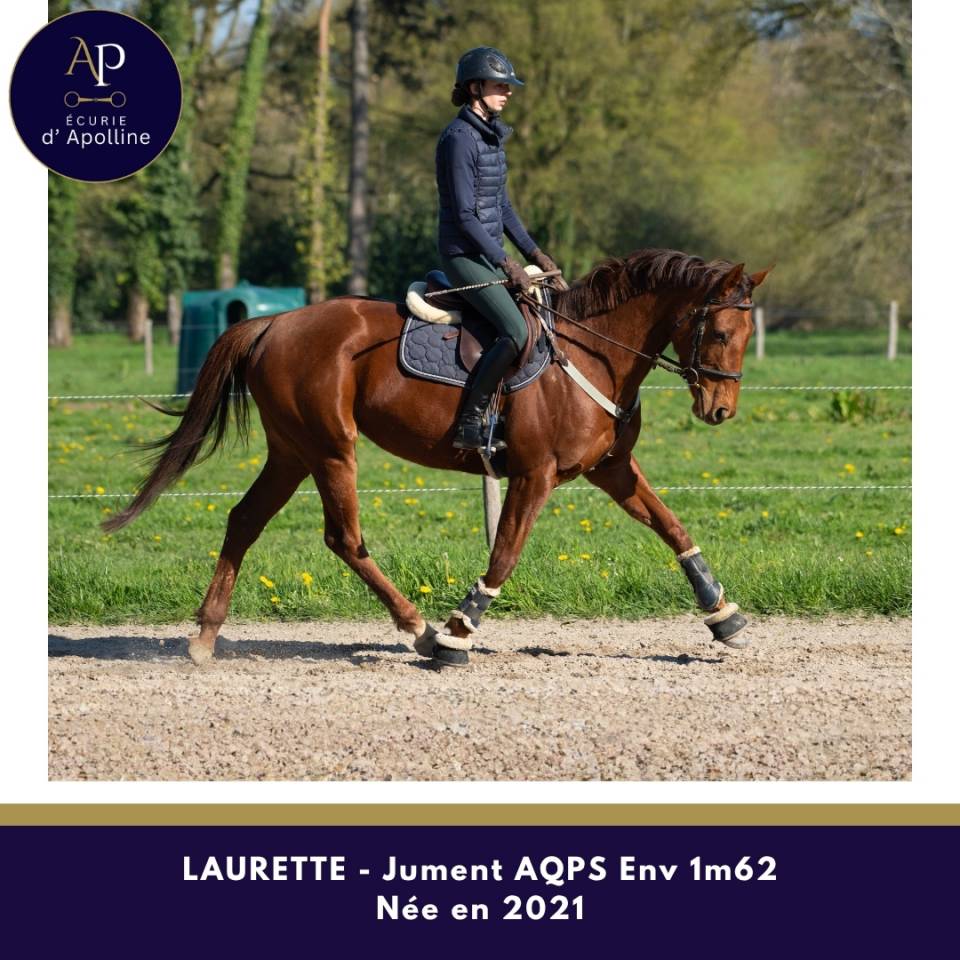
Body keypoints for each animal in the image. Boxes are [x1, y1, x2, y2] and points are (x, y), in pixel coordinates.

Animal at [105, 248, 768, 666]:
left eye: (744, 335)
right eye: (717, 333)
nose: (720, 410)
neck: (593, 353)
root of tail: (274, 323)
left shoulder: (612, 470)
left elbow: (672, 526)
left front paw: (724, 616)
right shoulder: (535, 475)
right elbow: (505, 555)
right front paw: (458, 632)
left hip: (292, 451)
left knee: (245, 520)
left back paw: (204, 637)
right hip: (330, 449)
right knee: (344, 538)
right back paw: (420, 630)